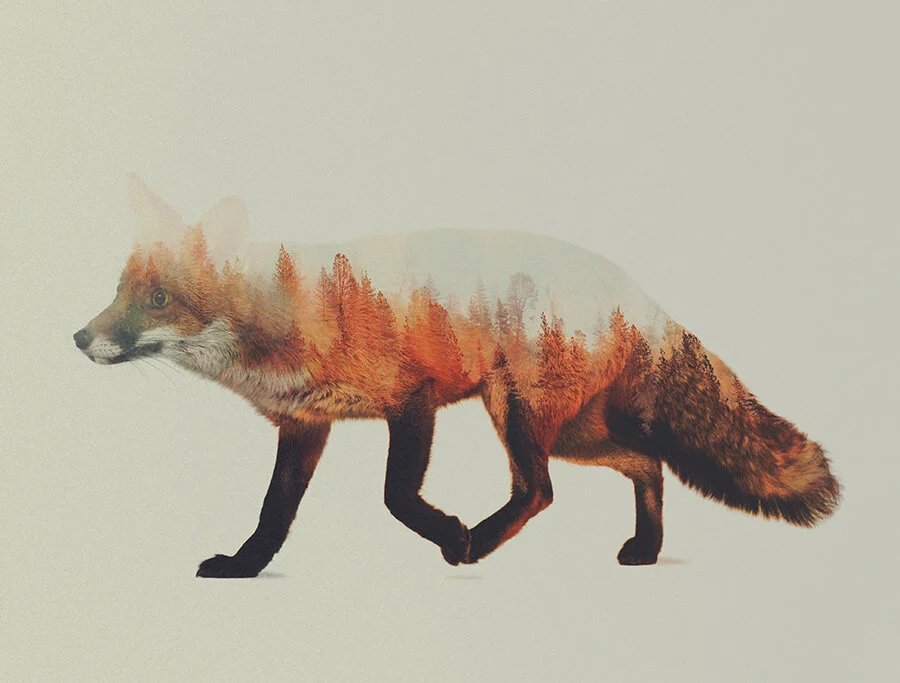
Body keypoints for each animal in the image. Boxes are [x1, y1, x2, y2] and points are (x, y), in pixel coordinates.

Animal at [74, 175, 840, 578]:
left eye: (158, 299)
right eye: (120, 291)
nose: (79, 337)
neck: (288, 314)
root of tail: (634, 291)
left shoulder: (413, 399)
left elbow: (395, 496)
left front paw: (448, 532)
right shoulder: (307, 423)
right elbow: (273, 513)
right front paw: (244, 565)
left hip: (518, 411)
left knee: (540, 490)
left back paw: (480, 543)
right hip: (575, 430)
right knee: (645, 463)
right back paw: (646, 549)